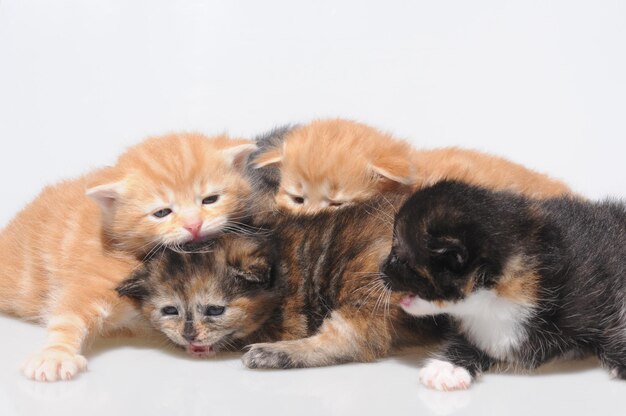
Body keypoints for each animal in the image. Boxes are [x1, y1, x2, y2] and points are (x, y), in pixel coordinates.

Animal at [0, 132, 256, 380]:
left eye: (210, 199)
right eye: (162, 212)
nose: (194, 224)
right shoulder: (95, 278)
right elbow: (68, 318)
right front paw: (55, 355)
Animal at [116, 198, 444, 368]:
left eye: (215, 310)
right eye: (170, 311)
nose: (189, 336)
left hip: (366, 278)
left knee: (353, 339)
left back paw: (272, 354)